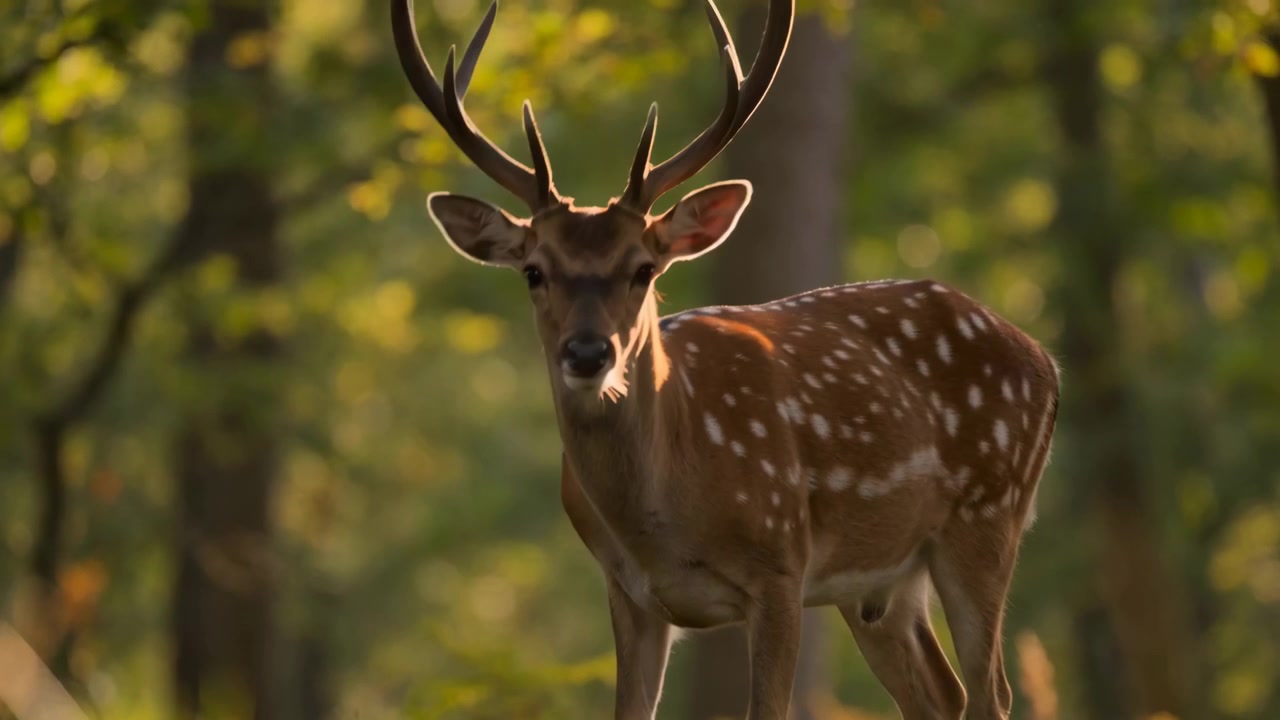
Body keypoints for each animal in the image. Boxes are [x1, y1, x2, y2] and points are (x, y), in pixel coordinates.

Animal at [390, 0, 1060, 717]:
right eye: (534, 271)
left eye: (644, 268)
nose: (588, 352)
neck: (661, 517)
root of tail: (1045, 361)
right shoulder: (627, 591)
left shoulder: (781, 564)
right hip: (880, 581)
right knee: (942, 692)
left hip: (987, 516)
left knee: (991, 691)